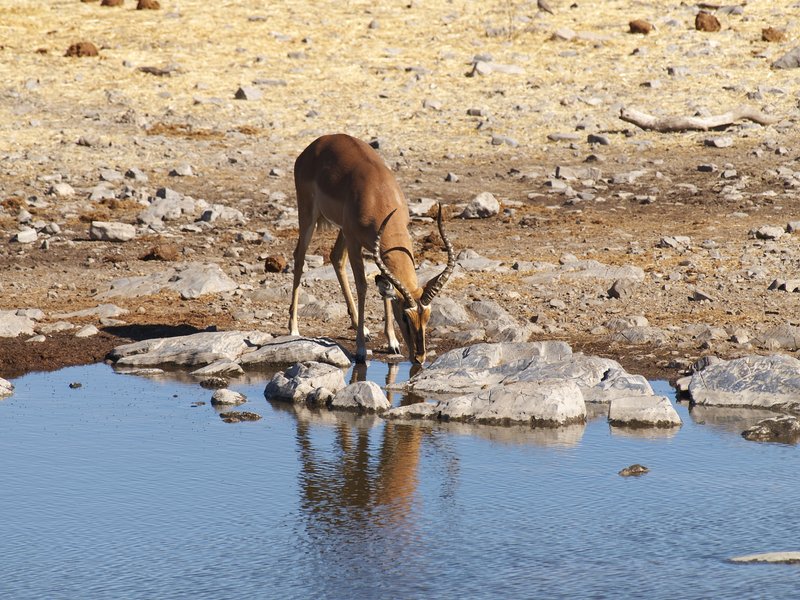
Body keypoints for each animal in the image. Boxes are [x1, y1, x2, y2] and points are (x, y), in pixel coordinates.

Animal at [288, 133, 456, 365]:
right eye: (405, 316)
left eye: (428, 316)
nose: (419, 357)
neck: (378, 194)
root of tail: (317, 143)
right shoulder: (354, 241)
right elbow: (363, 287)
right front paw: (360, 350)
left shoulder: (376, 248)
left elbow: (385, 289)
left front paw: (392, 342)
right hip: (309, 217)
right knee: (299, 257)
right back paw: (294, 329)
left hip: (341, 231)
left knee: (335, 257)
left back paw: (363, 328)